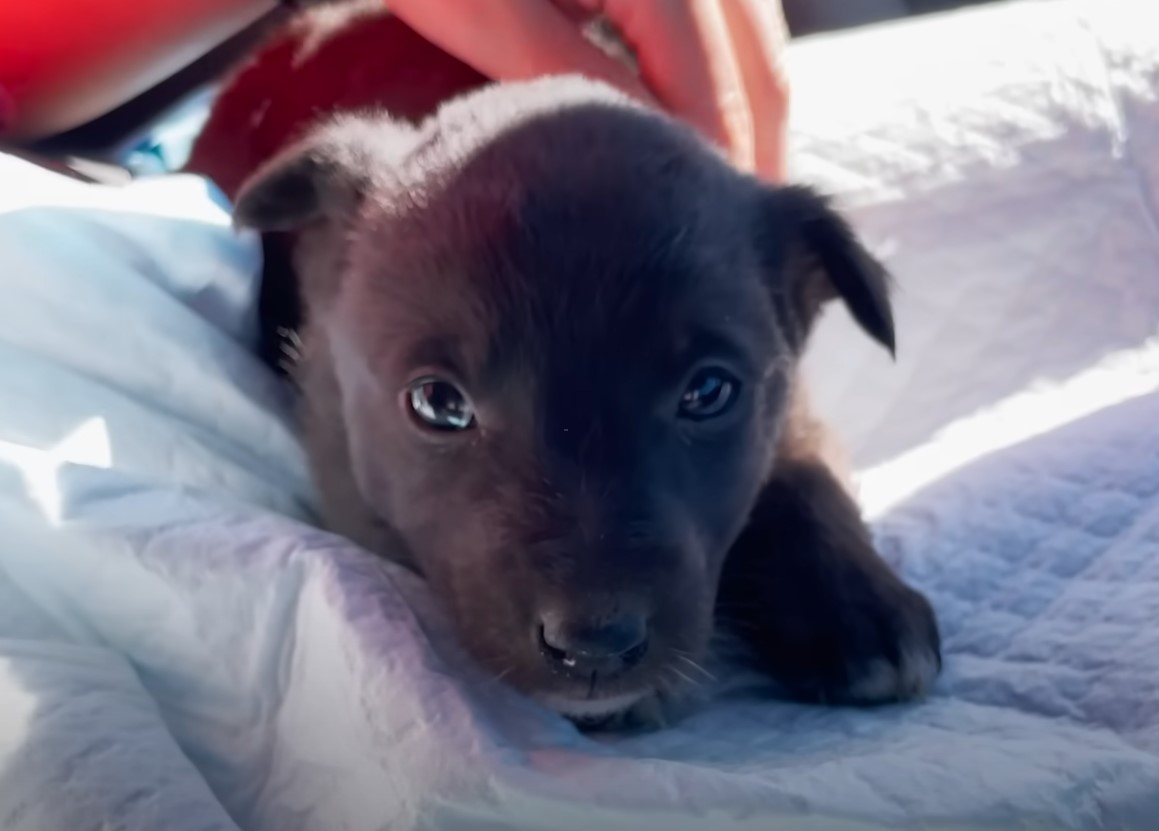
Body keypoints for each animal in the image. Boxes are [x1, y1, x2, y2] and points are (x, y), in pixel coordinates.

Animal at [235, 77, 941, 727]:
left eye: (708, 391)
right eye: (438, 403)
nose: (595, 648)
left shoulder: (793, 405)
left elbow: (806, 476)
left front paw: (861, 604)